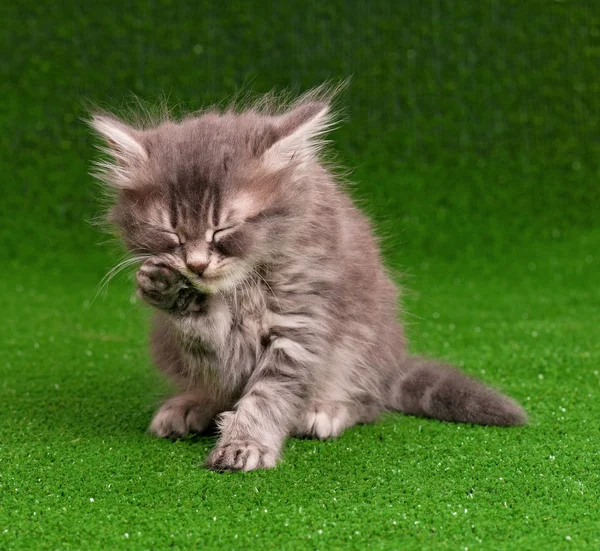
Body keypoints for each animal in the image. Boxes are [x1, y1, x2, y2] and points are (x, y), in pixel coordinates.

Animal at [89, 88, 524, 472]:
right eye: (171, 234)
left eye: (224, 228)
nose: (196, 265)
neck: (241, 291)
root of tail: (393, 361)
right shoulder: (220, 342)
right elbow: (207, 339)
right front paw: (170, 291)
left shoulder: (301, 324)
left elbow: (267, 395)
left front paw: (245, 444)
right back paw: (191, 404)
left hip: (361, 344)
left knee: (368, 402)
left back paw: (324, 410)